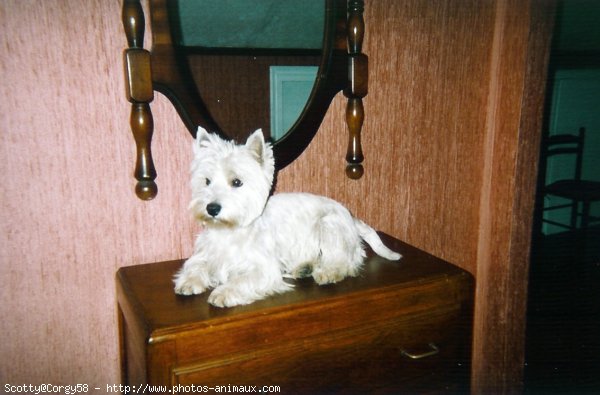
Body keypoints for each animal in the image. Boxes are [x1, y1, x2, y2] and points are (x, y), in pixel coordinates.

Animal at [171, 128, 400, 308]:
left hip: (329, 225)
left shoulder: (263, 268)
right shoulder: (205, 253)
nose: (212, 208)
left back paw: (327, 272)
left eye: (236, 182)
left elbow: (242, 280)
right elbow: (195, 265)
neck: (231, 230)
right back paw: (304, 268)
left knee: (344, 261)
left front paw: (222, 293)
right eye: (207, 181)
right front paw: (188, 282)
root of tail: (352, 217)